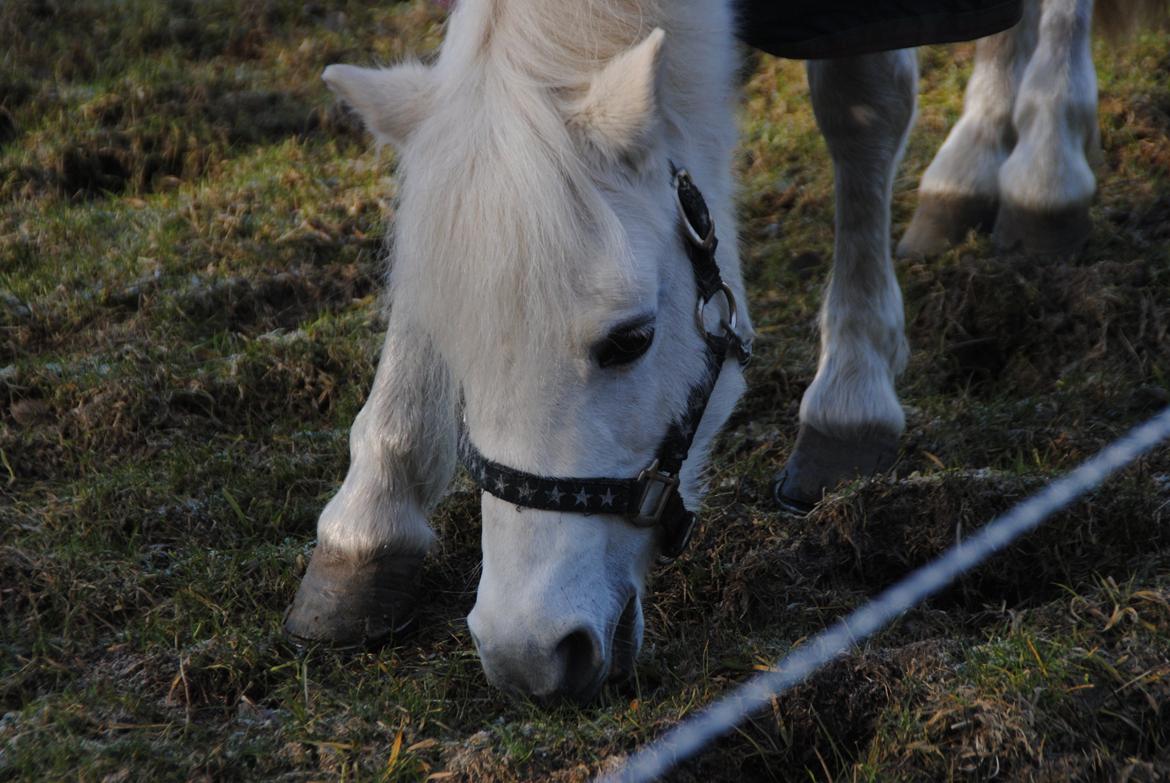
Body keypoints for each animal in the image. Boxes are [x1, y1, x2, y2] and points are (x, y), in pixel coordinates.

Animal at [287, 0, 1165, 697]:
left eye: (630, 340)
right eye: (452, 348)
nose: (527, 653)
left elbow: (863, 105)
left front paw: (852, 401)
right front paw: (369, 524)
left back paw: (1044, 175)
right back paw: (972, 168)